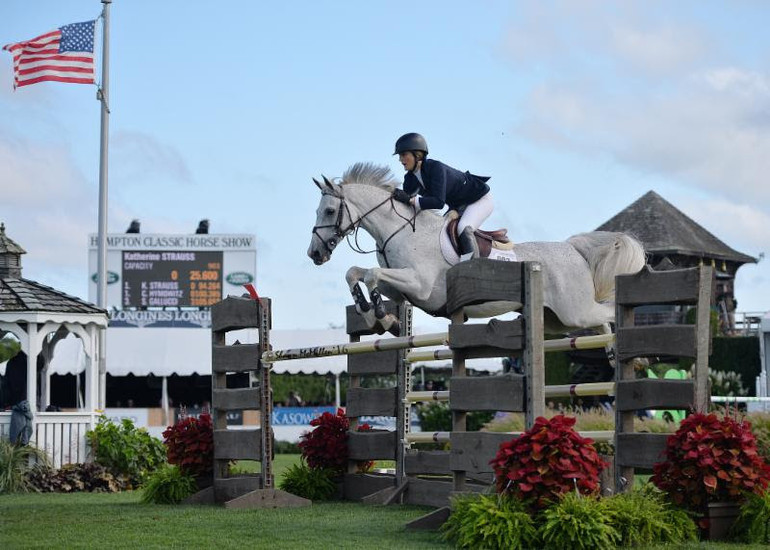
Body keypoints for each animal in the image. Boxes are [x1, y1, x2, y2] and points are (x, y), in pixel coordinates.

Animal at [306, 162, 640, 338]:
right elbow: (356, 273)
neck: (399, 230)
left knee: (607, 312)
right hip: (559, 319)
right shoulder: (402, 290)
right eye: (319, 210)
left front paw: (380, 316)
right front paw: (376, 317)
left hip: (575, 312)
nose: (315, 254)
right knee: (599, 323)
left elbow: (372, 274)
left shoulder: (421, 285)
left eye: (329, 211)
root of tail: (573, 251)